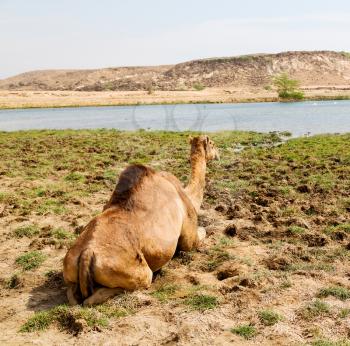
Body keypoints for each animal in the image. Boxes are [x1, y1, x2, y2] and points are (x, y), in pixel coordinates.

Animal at [63, 135, 219, 306]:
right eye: (212, 144)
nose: (218, 154)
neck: (186, 194)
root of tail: (86, 253)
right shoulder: (189, 238)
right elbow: (200, 234)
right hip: (136, 271)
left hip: (70, 273)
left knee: (73, 295)